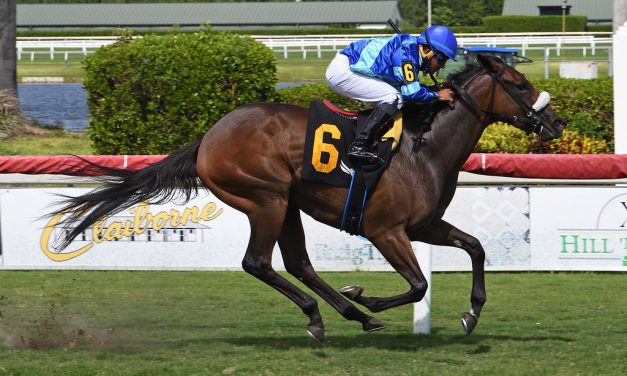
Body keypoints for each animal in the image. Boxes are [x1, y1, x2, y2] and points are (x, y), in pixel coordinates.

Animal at [51, 55, 568, 340]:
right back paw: (333, 314)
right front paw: (368, 296)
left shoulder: (423, 226)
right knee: (258, 263)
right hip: (266, 198)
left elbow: (476, 248)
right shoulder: (385, 230)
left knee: (298, 263)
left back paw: (346, 315)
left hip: (288, 205)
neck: (424, 147)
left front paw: (471, 313)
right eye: (519, 84)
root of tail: (208, 138)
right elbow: (419, 284)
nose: (556, 122)